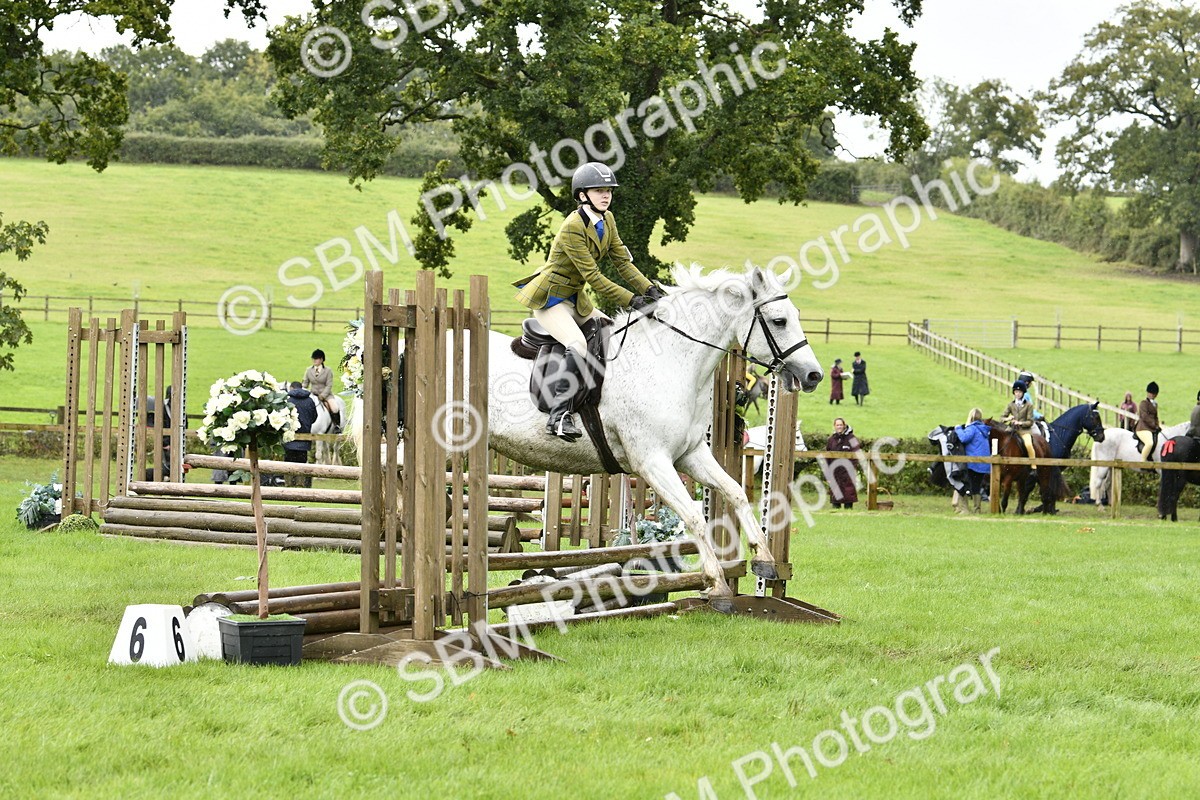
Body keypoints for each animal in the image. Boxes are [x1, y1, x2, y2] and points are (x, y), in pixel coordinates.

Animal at [351, 264, 823, 611]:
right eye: (779, 320)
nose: (813, 376)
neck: (672, 359)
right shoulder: (652, 461)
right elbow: (693, 514)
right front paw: (718, 586)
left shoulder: (690, 454)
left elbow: (736, 493)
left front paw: (765, 562)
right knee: (407, 488)